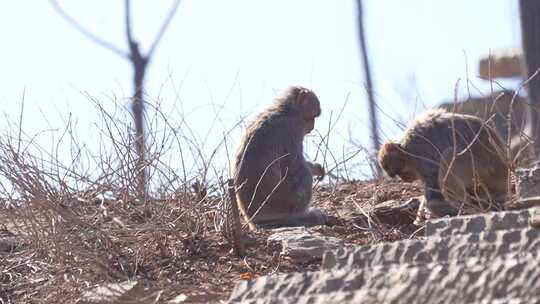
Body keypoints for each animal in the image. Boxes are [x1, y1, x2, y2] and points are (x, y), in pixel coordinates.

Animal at [232, 84, 330, 229]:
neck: (285, 110)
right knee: (303, 173)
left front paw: (318, 168)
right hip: (283, 203)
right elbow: (294, 165)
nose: (312, 126)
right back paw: (303, 215)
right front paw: (314, 168)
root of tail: (254, 220)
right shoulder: (292, 128)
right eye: (312, 116)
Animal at [380, 108, 510, 220]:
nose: (404, 179)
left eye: (399, 171)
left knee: (449, 154)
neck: (406, 147)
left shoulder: (420, 154)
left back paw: (464, 209)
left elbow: (433, 187)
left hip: (486, 174)